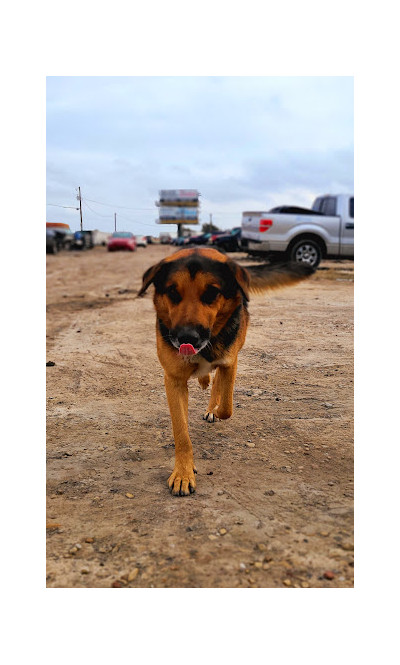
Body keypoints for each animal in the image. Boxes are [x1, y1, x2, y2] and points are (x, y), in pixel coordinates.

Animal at [139, 246, 314, 496]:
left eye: (212, 293)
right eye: (172, 292)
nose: (187, 338)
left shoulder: (230, 362)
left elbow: (227, 407)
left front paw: (215, 410)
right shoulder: (173, 379)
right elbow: (181, 433)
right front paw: (183, 473)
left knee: (218, 387)